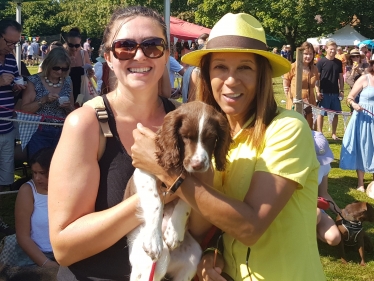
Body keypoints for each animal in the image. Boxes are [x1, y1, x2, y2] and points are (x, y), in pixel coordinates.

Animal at [125, 101, 231, 280]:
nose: (198, 165)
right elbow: (155, 201)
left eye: (211, 138)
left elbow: (186, 201)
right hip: (146, 259)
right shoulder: (143, 172)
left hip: (192, 257)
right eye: (185, 136)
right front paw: (153, 239)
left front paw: (174, 233)